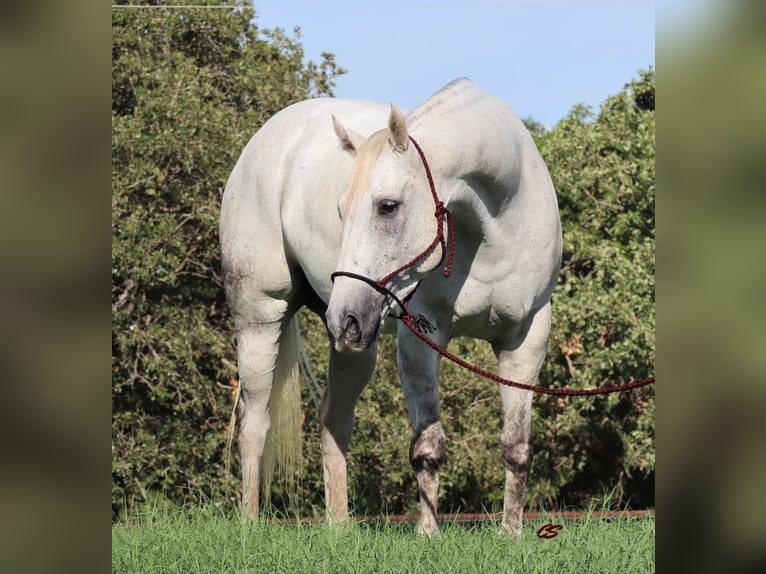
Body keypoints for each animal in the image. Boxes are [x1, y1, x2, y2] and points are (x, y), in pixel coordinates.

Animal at [219, 77, 560, 540]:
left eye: (387, 206)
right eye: (341, 211)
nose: (343, 316)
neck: (497, 229)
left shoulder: (526, 336)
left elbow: (516, 446)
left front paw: (512, 534)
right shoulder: (422, 336)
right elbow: (428, 446)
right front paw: (429, 534)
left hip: (357, 344)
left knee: (333, 421)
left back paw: (339, 529)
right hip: (262, 317)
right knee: (254, 421)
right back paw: (249, 525)